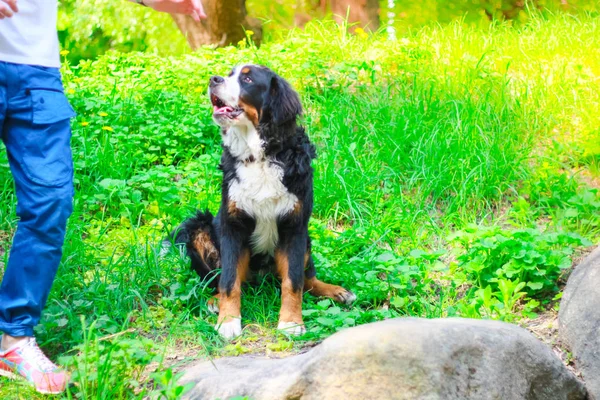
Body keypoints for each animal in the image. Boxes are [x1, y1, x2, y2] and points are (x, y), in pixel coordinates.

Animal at [161, 65, 356, 338]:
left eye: (248, 78)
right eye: (228, 74)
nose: (213, 79)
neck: (259, 156)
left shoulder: (294, 226)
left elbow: (294, 282)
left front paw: (291, 322)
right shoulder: (233, 226)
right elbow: (229, 281)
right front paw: (228, 322)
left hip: (305, 239)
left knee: (307, 278)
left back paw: (335, 291)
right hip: (199, 228)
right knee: (217, 280)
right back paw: (214, 301)